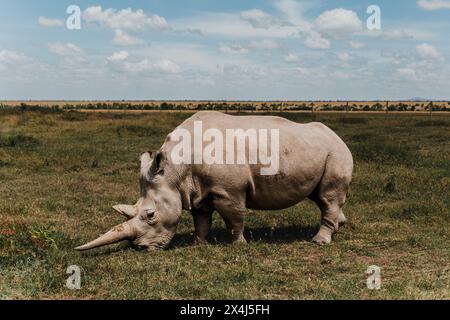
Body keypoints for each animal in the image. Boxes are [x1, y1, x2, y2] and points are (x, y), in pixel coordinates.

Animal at [75, 111, 354, 251]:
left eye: (151, 215)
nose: (142, 248)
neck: (175, 168)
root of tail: (338, 136)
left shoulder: (228, 191)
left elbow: (234, 218)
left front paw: (239, 245)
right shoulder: (195, 188)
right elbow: (201, 219)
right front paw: (199, 244)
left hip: (336, 152)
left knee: (328, 196)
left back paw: (319, 242)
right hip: (320, 150)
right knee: (320, 197)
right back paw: (337, 227)